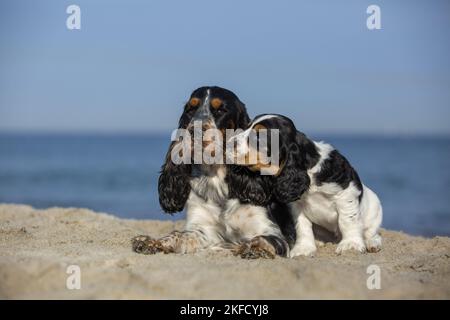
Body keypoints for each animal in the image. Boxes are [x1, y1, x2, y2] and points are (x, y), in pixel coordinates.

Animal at [132, 87, 294, 258]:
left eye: (221, 110)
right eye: (190, 109)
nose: (194, 131)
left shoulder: (272, 231)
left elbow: (262, 239)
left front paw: (254, 248)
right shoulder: (202, 228)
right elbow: (179, 235)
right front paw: (151, 242)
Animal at [229, 114, 384, 258]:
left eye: (259, 137)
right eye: (246, 126)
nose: (229, 142)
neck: (307, 169)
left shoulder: (345, 193)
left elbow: (347, 220)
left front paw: (351, 245)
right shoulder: (296, 205)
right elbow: (302, 227)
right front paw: (303, 249)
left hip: (374, 208)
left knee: (372, 232)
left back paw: (372, 243)